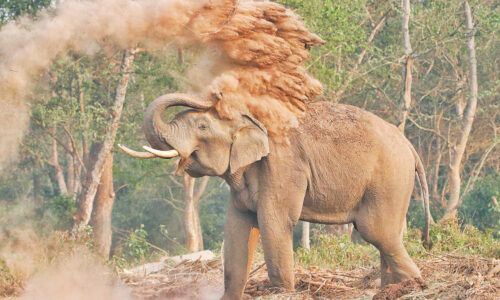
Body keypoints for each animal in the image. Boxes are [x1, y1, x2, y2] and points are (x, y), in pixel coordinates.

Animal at [119, 92, 432, 298]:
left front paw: (281, 292)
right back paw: (394, 289)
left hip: (388, 180)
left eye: (202, 126)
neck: (253, 115)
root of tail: (410, 146)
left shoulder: (283, 164)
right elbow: (237, 228)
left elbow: (274, 221)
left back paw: (416, 285)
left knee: (377, 232)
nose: (215, 94)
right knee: (389, 235)